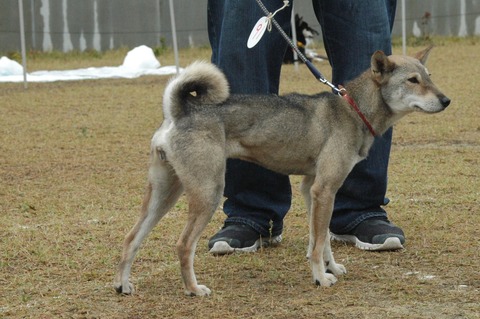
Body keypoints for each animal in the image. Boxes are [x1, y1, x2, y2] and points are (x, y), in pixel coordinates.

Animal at [115, 47, 450, 298]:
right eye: (413, 80)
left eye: (429, 77)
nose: (446, 100)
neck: (353, 110)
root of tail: (180, 111)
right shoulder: (325, 189)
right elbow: (318, 243)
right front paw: (321, 278)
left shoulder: (313, 190)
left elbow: (321, 240)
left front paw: (331, 268)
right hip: (207, 193)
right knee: (184, 246)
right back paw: (194, 289)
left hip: (164, 194)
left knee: (131, 239)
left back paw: (123, 284)